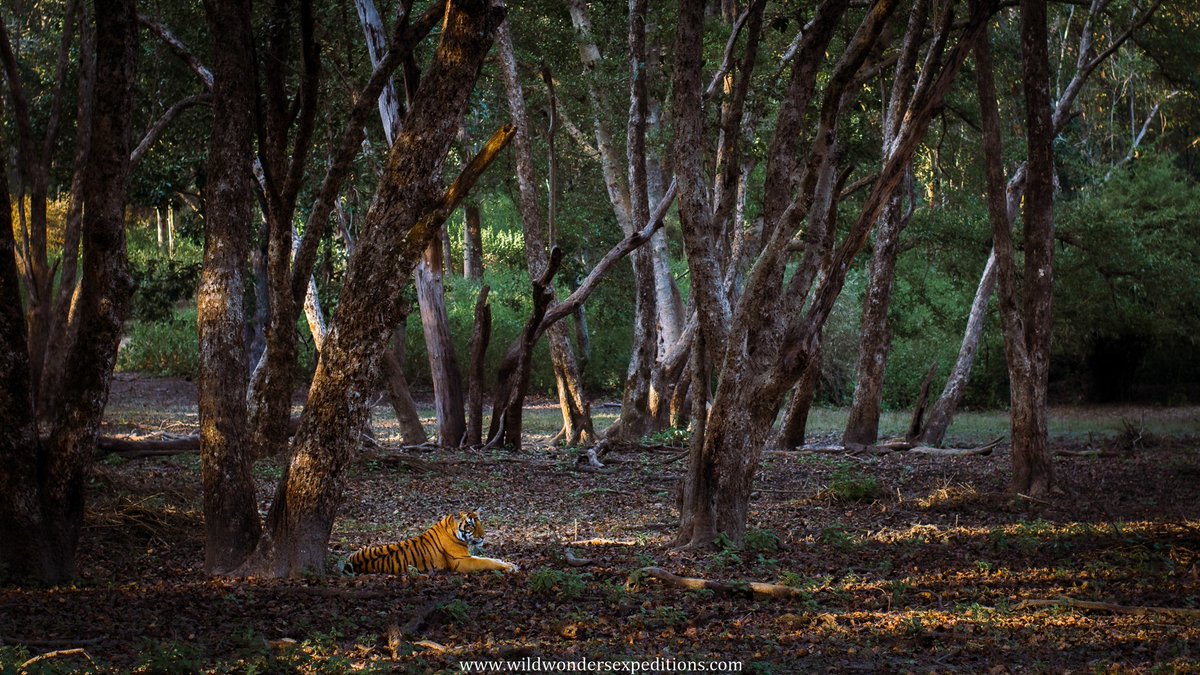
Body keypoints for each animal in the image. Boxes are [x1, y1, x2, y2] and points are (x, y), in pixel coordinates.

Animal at [346, 511, 519, 575]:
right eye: (471, 525)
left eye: (480, 523)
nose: (483, 536)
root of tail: (350, 561)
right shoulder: (461, 561)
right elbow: (486, 561)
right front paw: (510, 567)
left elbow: (490, 558)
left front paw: (509, 563)